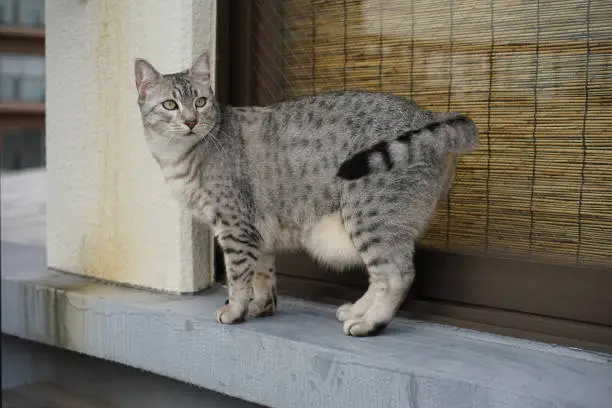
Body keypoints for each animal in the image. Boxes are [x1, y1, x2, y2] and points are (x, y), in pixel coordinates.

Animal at [134, 52, 478, 336]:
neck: (178, 157)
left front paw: (235, 310)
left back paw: (370, 323)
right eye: (170, 105)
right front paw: (261, 307)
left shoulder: (235, 226)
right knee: (380, 275)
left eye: (202, 102)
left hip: (369, 213)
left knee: (397, 274)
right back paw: (357, 311)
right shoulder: (258, 230)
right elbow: (263, 275)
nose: (191, 121)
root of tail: (428, 114)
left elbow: (238, 275)